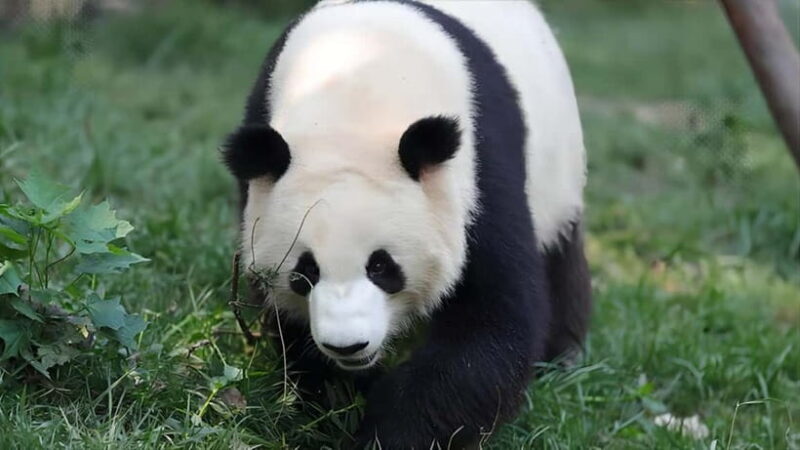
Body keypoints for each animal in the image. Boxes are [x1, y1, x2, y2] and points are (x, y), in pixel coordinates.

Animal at [223, 0, 591, 448]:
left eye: (381, 266)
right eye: (304, 272)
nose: (348, 345)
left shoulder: (479, 170)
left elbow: (492, 321)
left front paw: (389, 433)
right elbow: (290, 326)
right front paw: (333, 406)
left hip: (558, 172)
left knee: (560, 256)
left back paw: (562, 356)